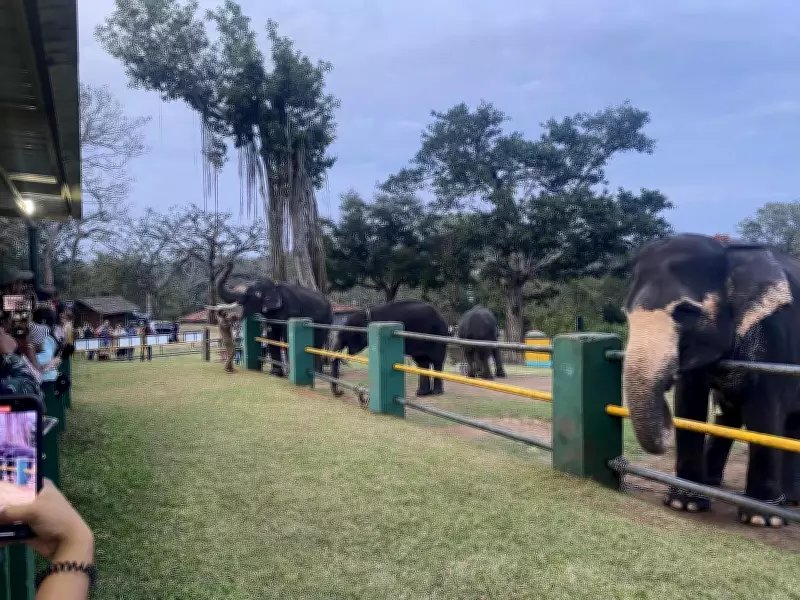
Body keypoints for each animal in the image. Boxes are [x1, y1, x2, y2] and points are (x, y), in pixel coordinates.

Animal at [622, 233, 800, 527]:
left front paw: (762, 518)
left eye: (685, 311)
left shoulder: (777, 342)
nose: (665, 424)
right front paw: (684, 503)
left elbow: (765, 415)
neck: (729, 252)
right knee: (728, 416)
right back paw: (714, 483)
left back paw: (790, 502)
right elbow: (689, 404)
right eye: (627, 313)